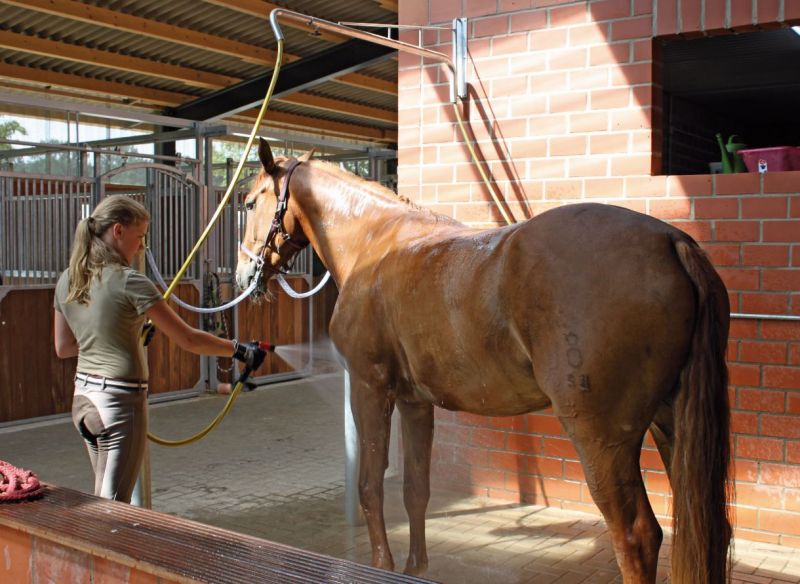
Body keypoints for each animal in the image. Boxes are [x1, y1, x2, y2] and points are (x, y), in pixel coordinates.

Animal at [233, 140, 732, 584]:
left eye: (251, 202)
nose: (243, 275)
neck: (375, 243)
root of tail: (671, 240)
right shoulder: (415, 402)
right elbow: (416, 489)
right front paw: (415, 568)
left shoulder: (370, 388)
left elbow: (370, 487)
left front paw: (382, 567)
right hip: (670, 425)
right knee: (708, 529)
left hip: (601, 439)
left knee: (636, 537)